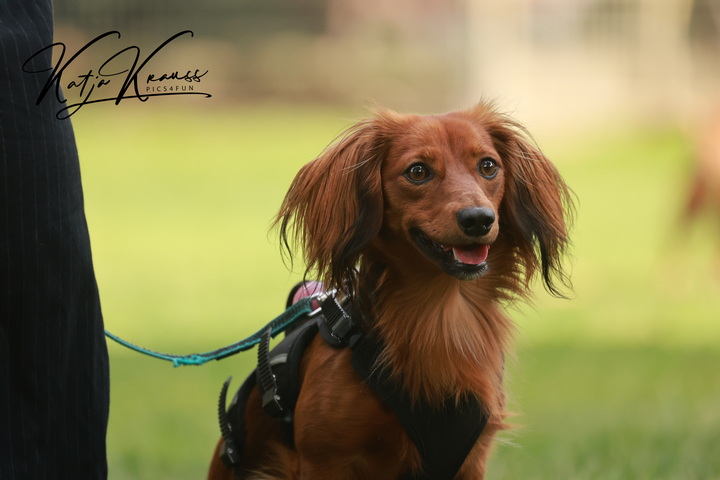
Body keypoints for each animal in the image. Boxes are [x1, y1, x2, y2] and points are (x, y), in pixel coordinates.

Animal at [208, 103, 572, 478]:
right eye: (417, 171)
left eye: (488, 166)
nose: (478, 219)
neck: (441, 317)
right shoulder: (324, 459)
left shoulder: (471, 463)